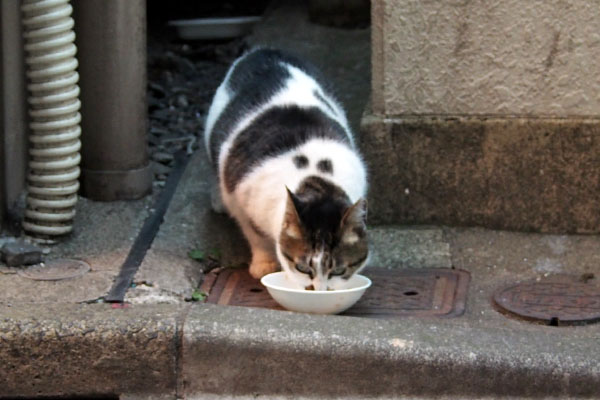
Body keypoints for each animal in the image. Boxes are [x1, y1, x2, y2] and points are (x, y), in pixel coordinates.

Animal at [204, 48, 368, 290]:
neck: (315, 175)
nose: (318, 291)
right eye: (302, 268)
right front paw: (264, 264)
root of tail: (265, 50)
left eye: (339, 271)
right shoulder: (239, 197)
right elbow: (256, 235)